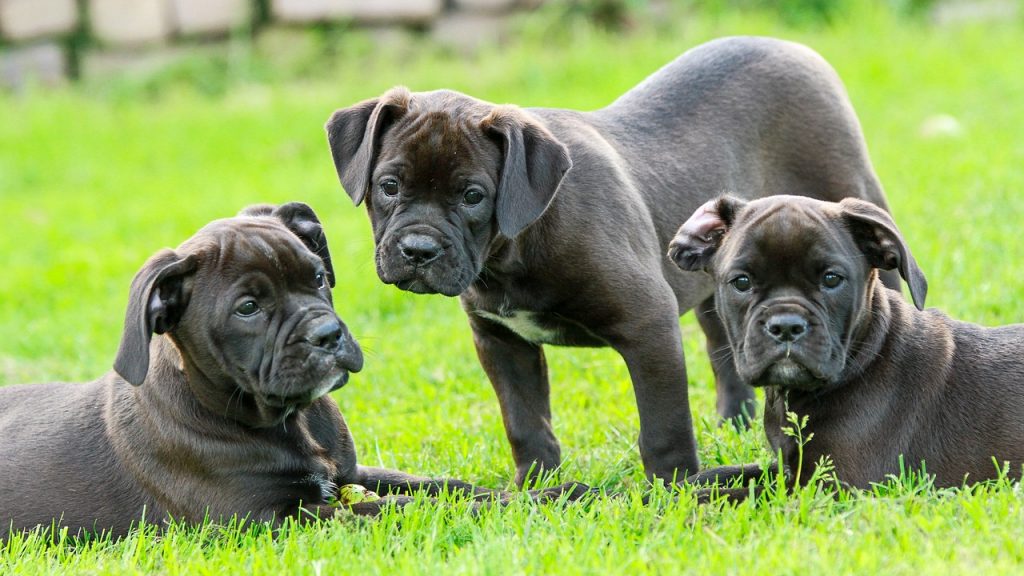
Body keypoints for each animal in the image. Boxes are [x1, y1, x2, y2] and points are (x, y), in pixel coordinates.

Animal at [0, 202, 589, 537]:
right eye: (247, 309)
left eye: (318, 277)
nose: (328, 335)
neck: (287, 419)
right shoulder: (273, 519)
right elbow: (398, 508)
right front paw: (542, 502)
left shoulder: (347, 473)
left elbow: (442, 486)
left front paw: (554, 493)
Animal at [325, 36, 897, 483]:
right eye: (388, 186)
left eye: (472, 196)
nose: (418, 250)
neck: (515, 248)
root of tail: (792, 47)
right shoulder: (502, 341)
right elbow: (526, 424)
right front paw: (538, 491)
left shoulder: (648, 324)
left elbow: (663, 428)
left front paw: (675, 493)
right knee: (724, 351)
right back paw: (732, 424)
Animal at [667, 193, 1019, 498]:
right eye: (741, 282)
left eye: (832, 279)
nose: (786, 326)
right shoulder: (787, 468)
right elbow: (723, 475)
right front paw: (663, 491)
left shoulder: (833, 486)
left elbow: (732, 496)